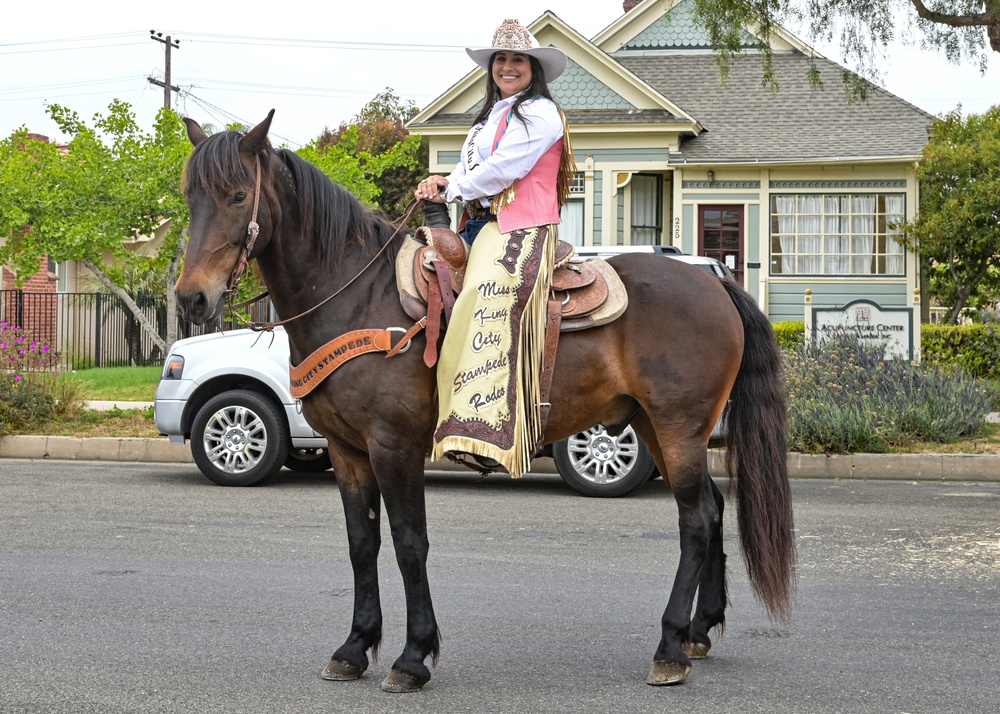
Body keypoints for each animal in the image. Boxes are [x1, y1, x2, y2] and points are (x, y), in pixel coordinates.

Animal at [176, 112, 792, 688]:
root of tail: (715, 283)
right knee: (712, 509)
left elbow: (409, 543)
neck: (357, 297)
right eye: (189, 196)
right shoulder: (347, 452)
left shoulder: (394, 447)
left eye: (237, 195)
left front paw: (413, 656)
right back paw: (697, 631)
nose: (191, 298)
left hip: (678, 426)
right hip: (657, 428)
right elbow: (361, 544)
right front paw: (354, 647)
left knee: (695, 519)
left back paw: (669, 648)